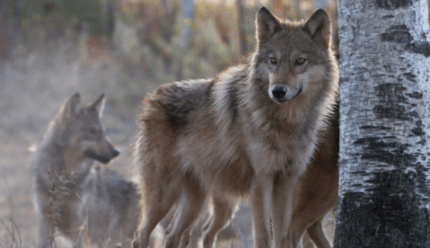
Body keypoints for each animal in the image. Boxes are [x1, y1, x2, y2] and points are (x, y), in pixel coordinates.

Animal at [33, 93, 141, 248]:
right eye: (93, 132)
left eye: (103, 132)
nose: (117, 152)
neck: (65, 176)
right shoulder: (45, 220)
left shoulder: (79, 225)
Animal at [133, 6, 338, 248]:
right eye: (273, 60)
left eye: (300, 61)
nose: (278, 91)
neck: (287, 123)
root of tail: (152, 96)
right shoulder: (262, 180)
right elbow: (263, 235)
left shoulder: (287, 181)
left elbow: (283, 235)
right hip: (165, 196)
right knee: (141, 235)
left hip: (195, 204)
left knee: (173, 236)